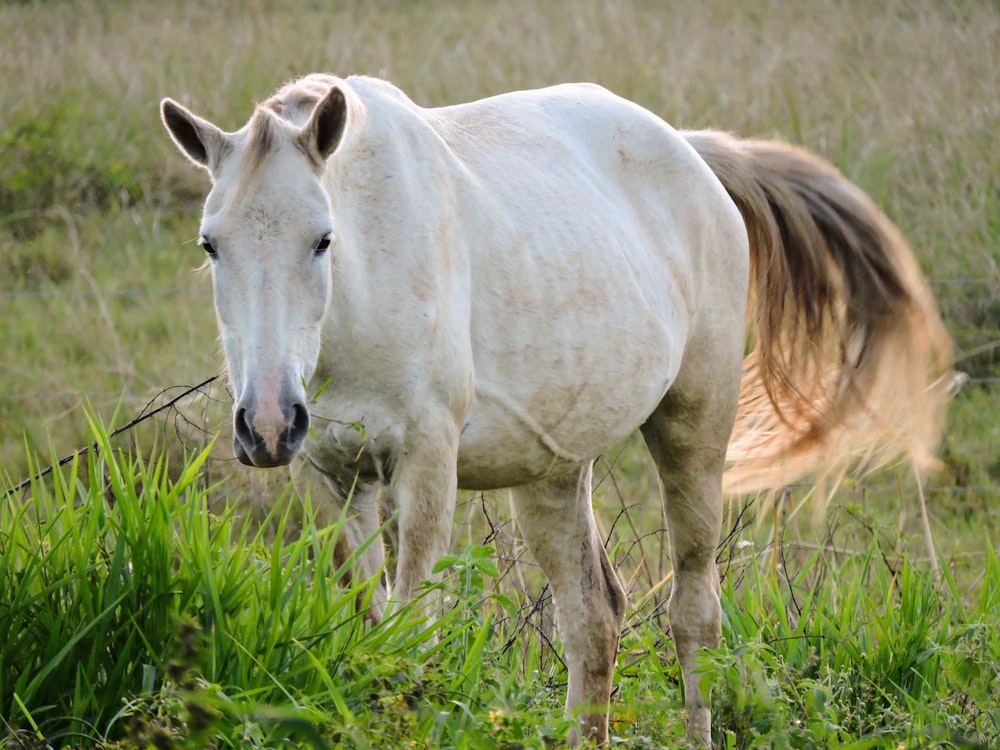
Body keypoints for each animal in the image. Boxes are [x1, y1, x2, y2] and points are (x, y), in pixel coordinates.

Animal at [162, 75, 952, 748]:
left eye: (322, 238)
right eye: (211, 244)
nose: (268, 423)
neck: (359, 299)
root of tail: (690, 151)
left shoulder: (425, 470)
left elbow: (412, 639)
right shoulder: (330, 478)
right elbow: (371, 636)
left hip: (695, 431)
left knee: (694, 617)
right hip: (552, 473)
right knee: (592, 623)